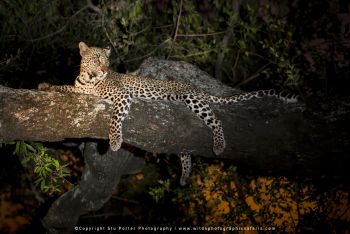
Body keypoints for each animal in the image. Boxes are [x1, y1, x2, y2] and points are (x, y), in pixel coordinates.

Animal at [39, 41, 298, 156]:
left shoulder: (121, 95)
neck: (90, 80)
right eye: (95, 59)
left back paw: (219, 145)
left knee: (216, 119)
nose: (104, 70)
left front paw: (114, 142)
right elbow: (64, 87)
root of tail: (194, 86)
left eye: (107, 60)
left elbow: (115, 119)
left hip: (192, 99)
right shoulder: (80, 90)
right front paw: (46, 85)